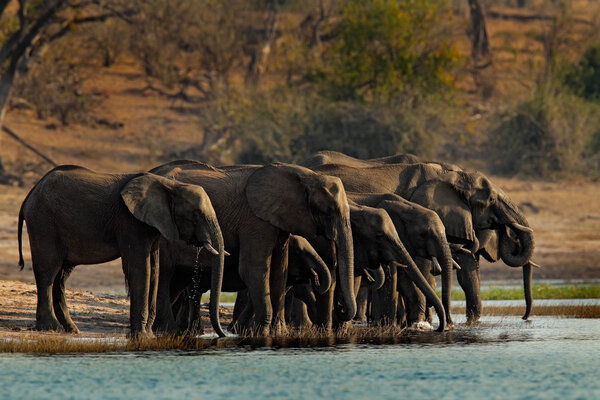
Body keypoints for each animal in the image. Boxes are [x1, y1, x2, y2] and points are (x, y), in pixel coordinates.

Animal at [149, 159, 356, 334]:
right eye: (329, 210)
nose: (340, 307)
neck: (304, 175)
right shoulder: (255, 221)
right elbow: (254, 268)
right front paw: (261, 333)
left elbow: (279, 271)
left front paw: (277, 333)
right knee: (166, 276)